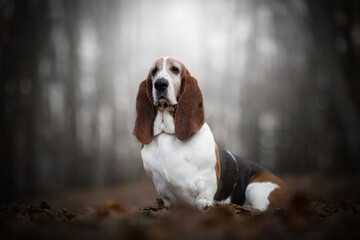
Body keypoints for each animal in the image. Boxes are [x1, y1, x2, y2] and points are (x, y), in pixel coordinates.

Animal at [134, 57, 288, 211]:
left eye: (175, 69)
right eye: (153, 71)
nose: (160, 84)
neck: (168, 134)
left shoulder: (204, 195)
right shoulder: (165, 195)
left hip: (255, 188)